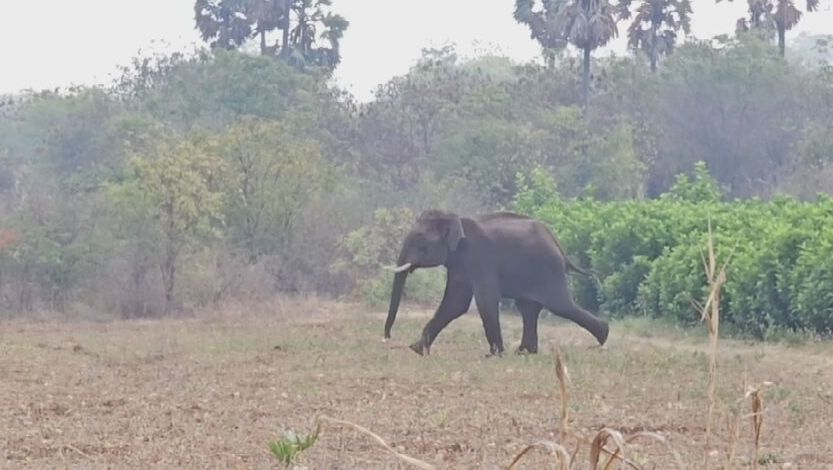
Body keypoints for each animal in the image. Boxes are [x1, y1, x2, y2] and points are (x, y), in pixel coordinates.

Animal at [384, 210, 609, 357]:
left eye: (420, 237)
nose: (387, 338)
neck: (455, 219)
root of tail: (558, 244)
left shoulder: (480, 256)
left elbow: (484, 300)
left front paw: (494, 355)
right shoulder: (459, 264)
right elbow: (455, 304)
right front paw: (417, 349)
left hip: (548, 271)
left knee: (559, 306)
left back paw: (604, 335)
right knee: (528, 308)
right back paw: (524, 352)